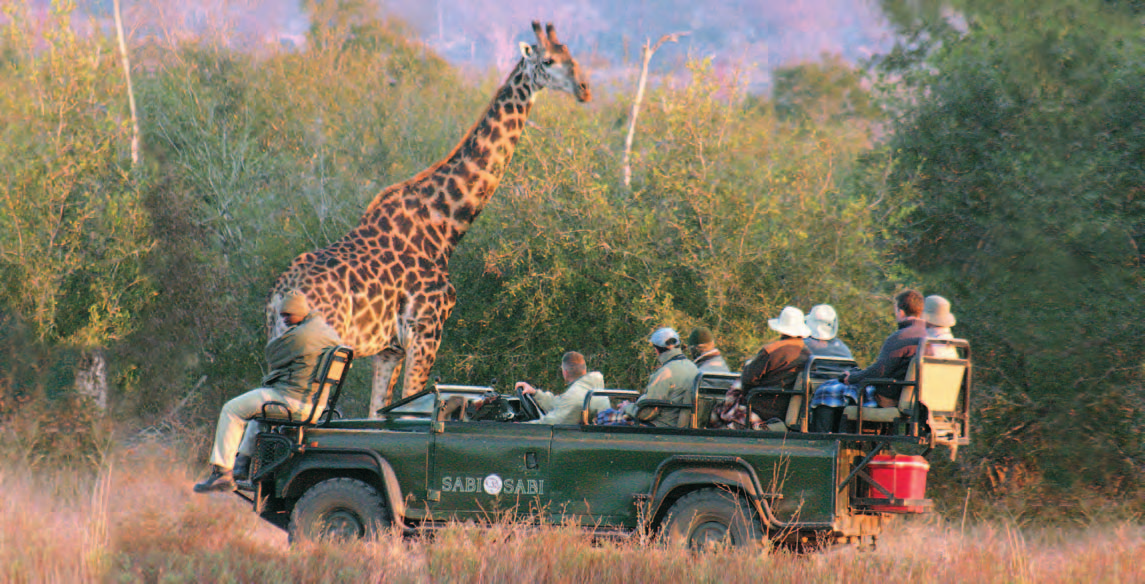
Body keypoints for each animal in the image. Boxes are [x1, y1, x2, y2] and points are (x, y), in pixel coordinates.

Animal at [265, 21, 590, 414]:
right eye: (549, 61)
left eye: (572, 57)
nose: (585, 89)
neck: (445, 224)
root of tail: (281, 294)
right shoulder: (426, 332)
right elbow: (409, 401)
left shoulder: (389, 348)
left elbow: (378, 410)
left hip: (277, 344)